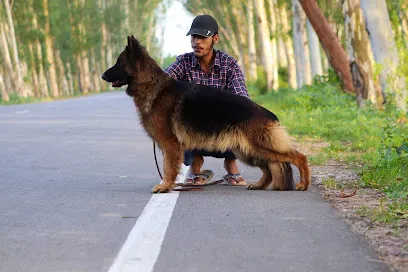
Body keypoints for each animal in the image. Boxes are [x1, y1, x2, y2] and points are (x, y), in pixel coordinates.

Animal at [101, 36, 310, 193]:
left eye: (119, 62)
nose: (102, 76)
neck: (152, 85)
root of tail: (269, 114)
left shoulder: (170, 144)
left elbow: (168, 168)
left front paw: (165, 187)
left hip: (258, 146)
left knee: (298, 157)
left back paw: (303, 184)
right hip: (248, 150)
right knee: (268, 169)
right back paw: (259, 185)